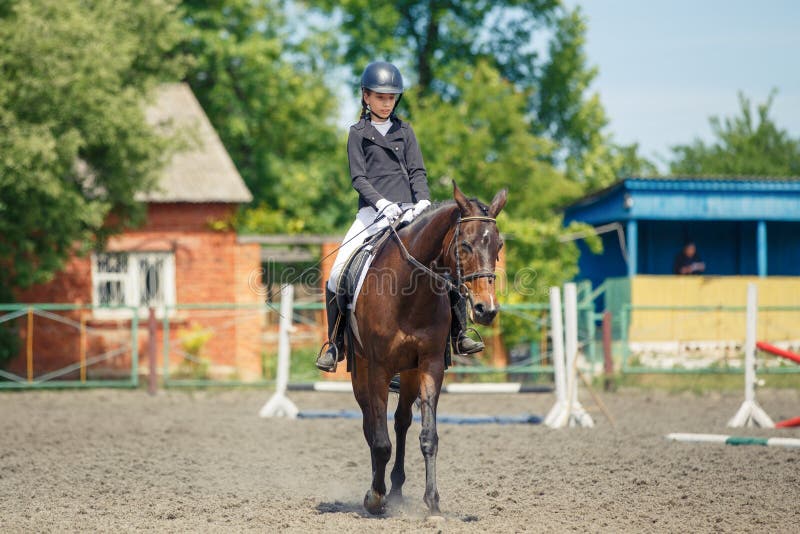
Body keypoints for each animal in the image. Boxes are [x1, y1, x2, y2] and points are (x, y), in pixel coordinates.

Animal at [350, 182, 506, 516]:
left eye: (498, 247)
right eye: (465, 245)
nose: (486, 310)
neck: (410, 292)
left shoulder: (430, 364)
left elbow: (429, 436)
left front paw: (433, 502)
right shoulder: (378, 368)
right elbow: (380, 440)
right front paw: (374, 498)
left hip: (409, 374)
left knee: (401, 421)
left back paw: (395, 489)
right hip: (360, 370)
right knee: (371, 423)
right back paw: (378, 490)